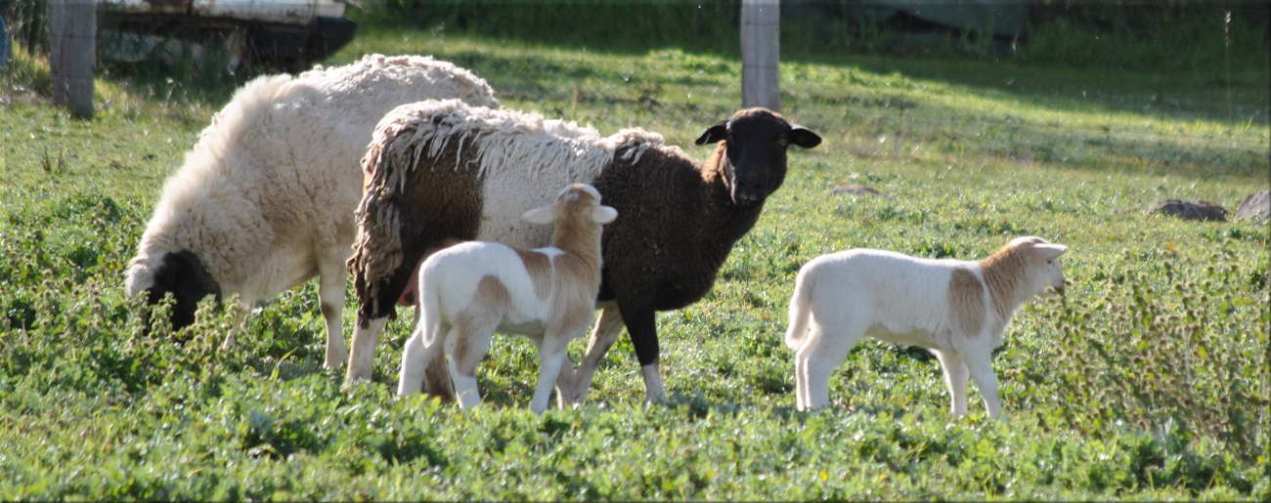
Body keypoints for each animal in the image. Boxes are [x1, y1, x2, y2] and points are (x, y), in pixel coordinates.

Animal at [123, 54, 498, 369]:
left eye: (164, 298)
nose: (144, 354)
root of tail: (476, 83)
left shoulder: (332, 238)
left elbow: (329, 306)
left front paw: (333, 361)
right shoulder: (261, 253)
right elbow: (243, 305)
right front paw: (230, 345)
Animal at [396, 183, 617, 413]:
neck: (576, 257)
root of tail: (432, 269)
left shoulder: (540, 332)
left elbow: (562, 371)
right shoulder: (559, 330)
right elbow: (550, 368)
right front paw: (538, 409)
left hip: (438, 316)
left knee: (416, 350)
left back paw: (405, 400)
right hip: (476, 318)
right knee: (460, 361)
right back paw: (474, 410)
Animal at [785, 236, 1069, 417]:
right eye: (1050, 262)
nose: (1064, 284)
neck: (991, 286)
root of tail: (810, 273)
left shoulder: (951, 349)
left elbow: (956, 381)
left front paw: (959, 417)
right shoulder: (973, 341)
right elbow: (987, 382)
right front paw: (998, 421)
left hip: (823, 322)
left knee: (802, 357)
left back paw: (803, 406)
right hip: (840, 323)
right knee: (817, 364)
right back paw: (820, 408)